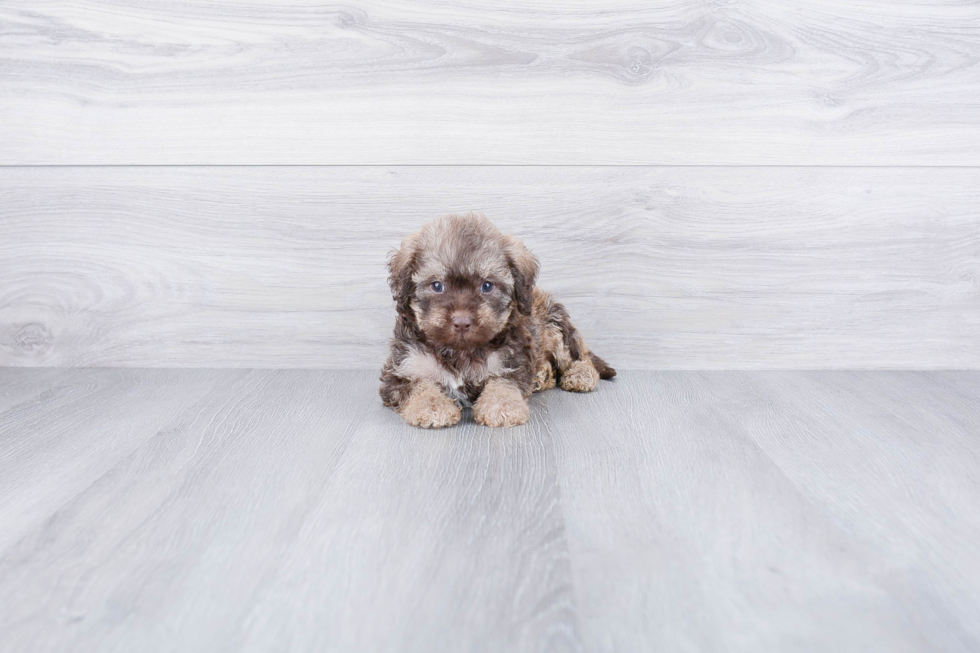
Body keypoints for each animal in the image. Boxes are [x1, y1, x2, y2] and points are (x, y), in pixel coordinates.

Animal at [380, 214, 616, 428]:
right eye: (437, 286)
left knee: (580, 356)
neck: (459, 351)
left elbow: (503, 383)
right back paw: (542, 377)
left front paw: (502, 406)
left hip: (556, 328)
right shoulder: (402, 369)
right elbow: (420, 386)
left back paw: (580, 375)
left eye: (487, 286)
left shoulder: (511, 362)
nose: (462, 322)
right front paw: (432, 407)